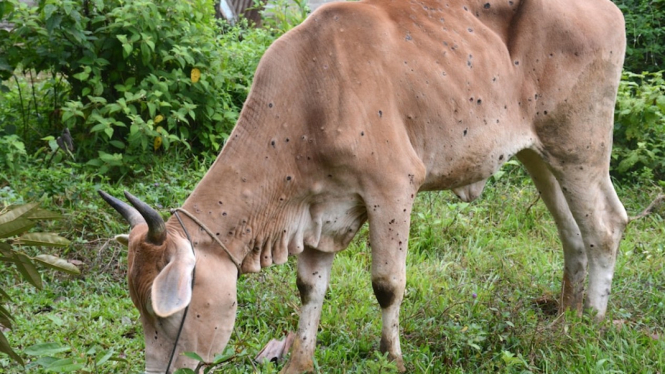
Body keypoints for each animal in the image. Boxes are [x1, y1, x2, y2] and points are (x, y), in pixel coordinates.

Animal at [98, 0, 628, 372]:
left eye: (171, 313)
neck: (309, 96)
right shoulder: (319, 209)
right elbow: (309, 286)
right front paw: (299, 362)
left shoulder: (392, 189)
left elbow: (387, 285)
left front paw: (391, 358)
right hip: (538, 153)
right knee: (572, 231)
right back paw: (563, 316)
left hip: (581, 144)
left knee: (606, 226)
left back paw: (593, 325)